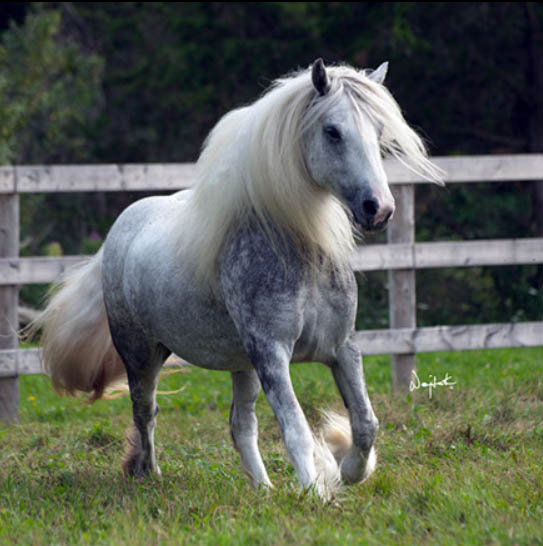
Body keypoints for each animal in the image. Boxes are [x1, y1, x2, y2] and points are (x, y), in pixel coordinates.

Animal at [33, 58, 442, 498]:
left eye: (379, 131)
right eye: (332, 131)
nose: (378, 209)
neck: (298, 253)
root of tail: (120, 229)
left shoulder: (341, 348)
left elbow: (366, 424)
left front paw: (345, 469)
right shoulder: (272, 353)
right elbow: (295, 428)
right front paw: (316, 493)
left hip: (241, 364)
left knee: (240, 425)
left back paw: (262, 489)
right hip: (142, 353)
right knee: (146, 411)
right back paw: (148, 473)